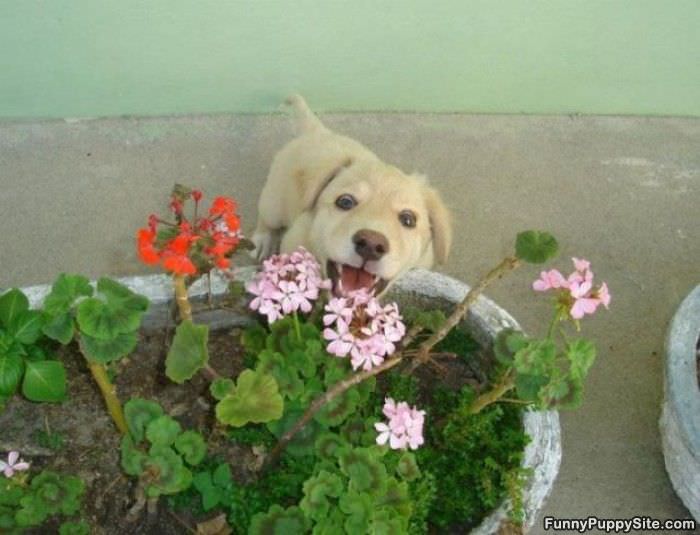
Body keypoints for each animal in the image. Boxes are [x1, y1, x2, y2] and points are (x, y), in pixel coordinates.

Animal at [252, 96, 454, 298]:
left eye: (408, 219)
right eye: (345, 201)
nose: (371, 245)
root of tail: (319, 132)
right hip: (274, 204)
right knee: (266, 219)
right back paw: (262, 241)